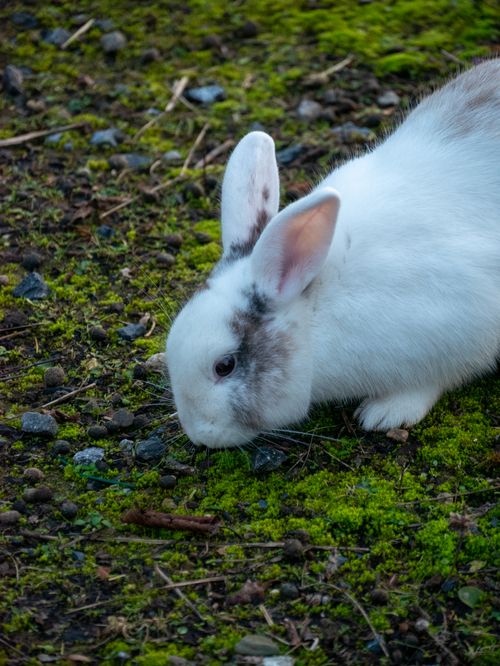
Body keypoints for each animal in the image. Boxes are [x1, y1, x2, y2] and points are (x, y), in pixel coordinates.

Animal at [166, 59, 500, 449]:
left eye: (225, 365)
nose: (197, 435)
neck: (314, 309)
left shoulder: (464, 328)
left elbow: (433, 381)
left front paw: (384, 413)